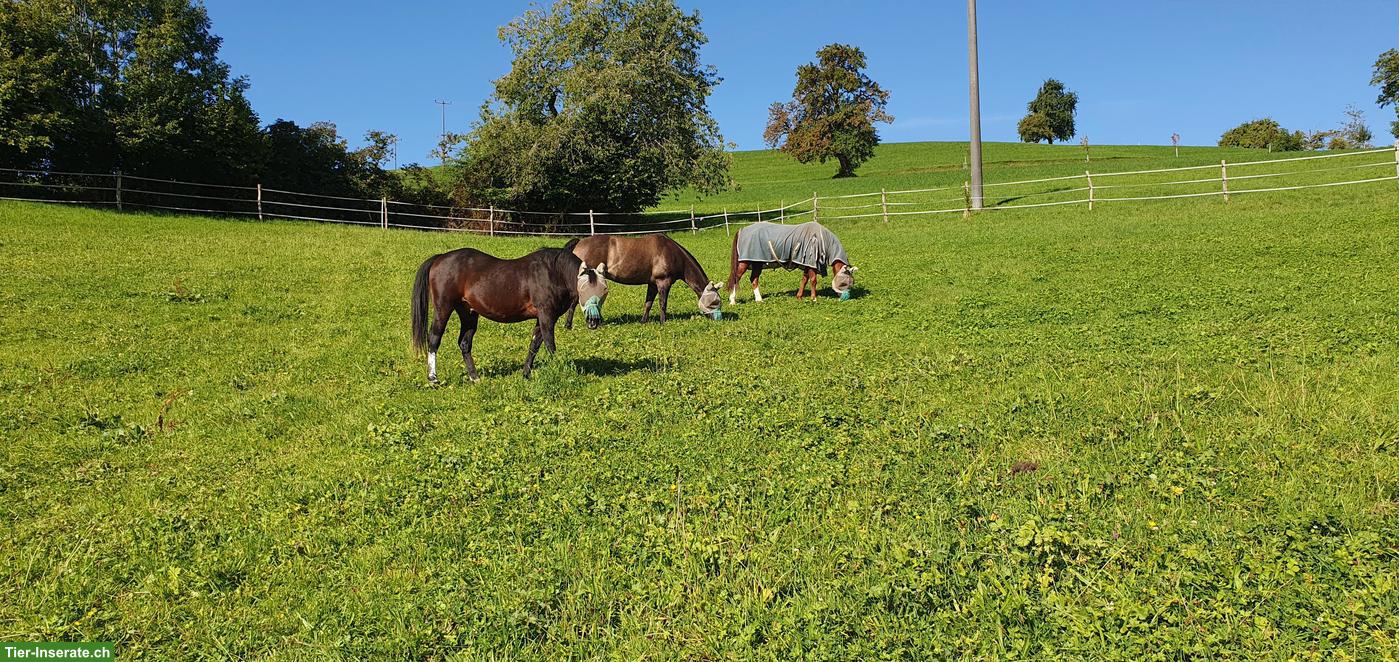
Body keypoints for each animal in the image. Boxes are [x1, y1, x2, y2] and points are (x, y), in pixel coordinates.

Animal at [411, 239, 609, 381]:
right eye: (583, 289)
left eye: (604, 291)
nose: (594, 321)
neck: (554, 272)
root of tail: (440, 258)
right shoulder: (547, 315)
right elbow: (550, 345)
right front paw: (560, 371)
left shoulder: (541, 318)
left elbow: (534, 345)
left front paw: (526, 374)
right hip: (443, 308)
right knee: (434, 339)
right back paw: (433, 378)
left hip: (468, 313)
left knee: (464, 343)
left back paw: (475, 377)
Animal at [564, 234, 722, 327]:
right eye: (715, 302)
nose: (719, 319)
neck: (672, 253)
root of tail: (578, 243)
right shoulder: (663, 282)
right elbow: (662, 304)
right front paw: (663, 323)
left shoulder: (652, 284)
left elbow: (648, 304)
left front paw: (643, 321)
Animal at [725, 221, 857, 303]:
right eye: (847, 282)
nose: (845, 298)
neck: (821, 238)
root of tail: (742, 230)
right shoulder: (811, 264)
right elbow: (813, 280)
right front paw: (814, 298)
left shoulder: (807, 264)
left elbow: (804, 280)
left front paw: (799, 297)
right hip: (744, 263)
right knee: (735, 278)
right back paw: (732, 301)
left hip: (757, 262)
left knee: (754, 279)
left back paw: (759, 300)